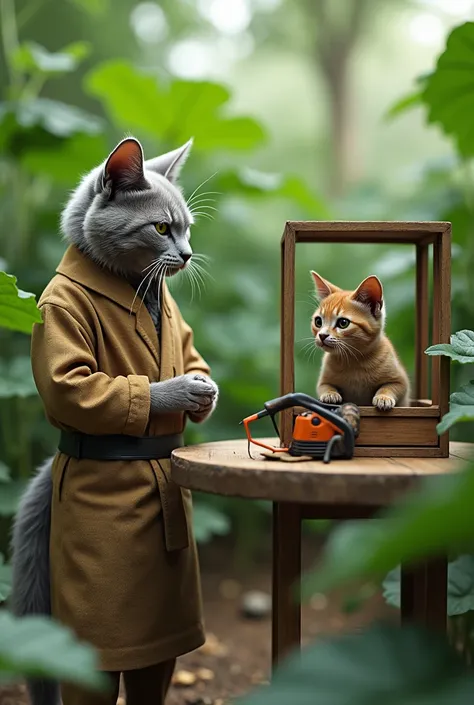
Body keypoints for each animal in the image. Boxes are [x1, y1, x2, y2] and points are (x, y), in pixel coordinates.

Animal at [9, 136, 218, 704]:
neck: (138, 287)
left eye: (187, 228)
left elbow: (192, 353)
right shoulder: (60, 335)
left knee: (153, 671)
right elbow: (84, 386)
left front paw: (205, 391)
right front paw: (181, 391)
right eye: (162, 228)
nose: (187, 254)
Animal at [310, 270, 410, 412]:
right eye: (318, 321)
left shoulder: (402, 382)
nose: (322, 335)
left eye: (343, 323)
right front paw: (330, 394)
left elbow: (390, 386)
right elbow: (324, 386)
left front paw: (383, 397)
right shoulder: (323, 380)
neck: (354, 361)